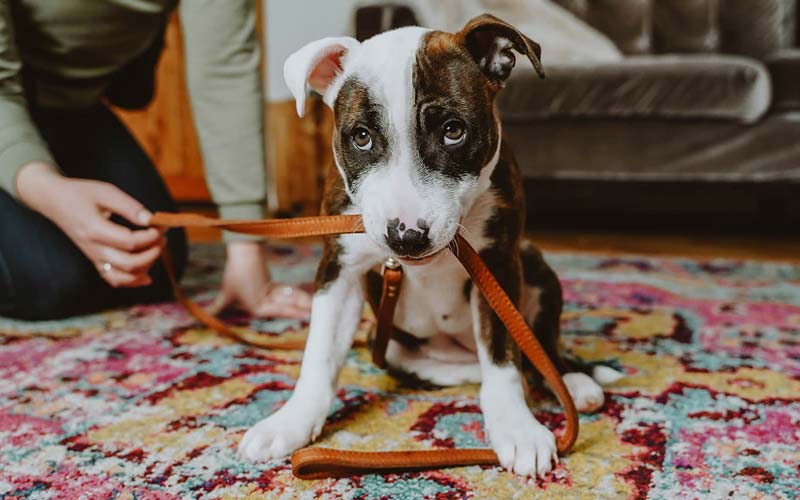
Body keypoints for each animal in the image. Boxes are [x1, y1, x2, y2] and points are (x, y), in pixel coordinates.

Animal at [238, 14, 620, 476]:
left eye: (453, 131)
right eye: (361, 137)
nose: (406, 235)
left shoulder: (498, 263)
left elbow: (503, 355)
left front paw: (516, 427)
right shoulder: (339, 270)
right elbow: (319, 355)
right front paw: (290, 422)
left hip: (535, 267)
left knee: (537, 349)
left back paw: (573, 382)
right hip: (393, 346)